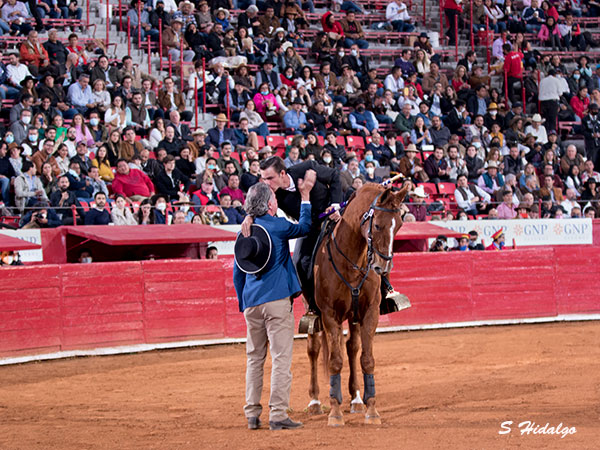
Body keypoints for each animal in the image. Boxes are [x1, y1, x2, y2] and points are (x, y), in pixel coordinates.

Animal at [308, 183, 406, 426]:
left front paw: (372, 410)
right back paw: (314, 401)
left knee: (352, 347)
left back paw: (356, 399)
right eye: (377, 224)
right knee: (314, 349)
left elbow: (367, 359)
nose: (383, 267)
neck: (352, 261)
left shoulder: (369, 313)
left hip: (353, 317)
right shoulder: (330, 315)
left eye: (399, 225)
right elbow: (335, 361)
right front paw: (335, 413)